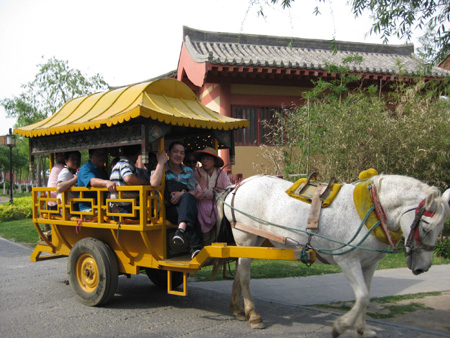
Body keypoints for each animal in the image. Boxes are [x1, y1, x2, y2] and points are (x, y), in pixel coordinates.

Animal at [221, 176, 450, 336]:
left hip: (255, 240)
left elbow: (366, 296)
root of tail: (240, 184)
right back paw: (253, 315)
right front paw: (341, 326)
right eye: (426, 228)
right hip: (246, 237)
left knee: (239, 270)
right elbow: (362, 295)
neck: (371, 210)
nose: (422, 267)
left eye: (441, 229)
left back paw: (238, 310)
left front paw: (362, 328)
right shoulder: (347, 261)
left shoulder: (369, 264)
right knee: (245, 276)